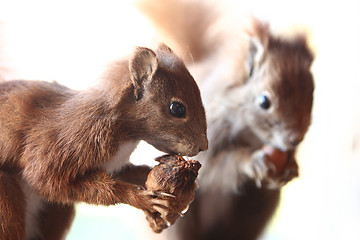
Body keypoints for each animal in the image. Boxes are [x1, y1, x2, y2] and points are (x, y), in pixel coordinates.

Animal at [0, 43, 208, 240]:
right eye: (177, 108)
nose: (204, 146)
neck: (126, 133)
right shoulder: (63, 143)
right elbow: (46, 180)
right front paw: (139, 198)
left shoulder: (112, 164)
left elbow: (128, 172)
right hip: (7, 200)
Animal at [136, 0, 314, 239]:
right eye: (264, 101)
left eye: (311, 93)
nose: (294, 139)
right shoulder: (204, 136)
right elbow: (215, 167)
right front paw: (253, 161)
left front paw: (291, 165)